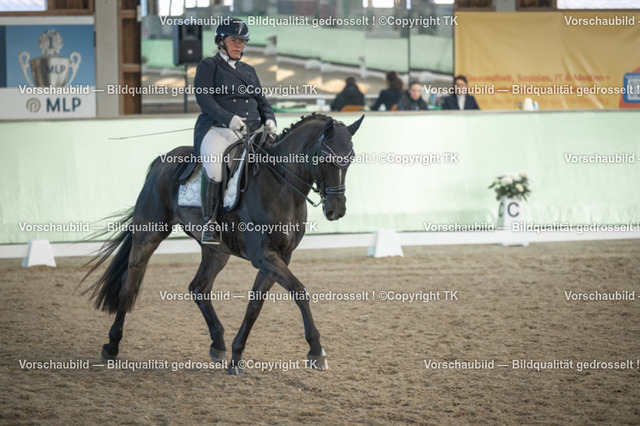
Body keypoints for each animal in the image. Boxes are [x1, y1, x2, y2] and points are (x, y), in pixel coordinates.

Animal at [81, 113, 364, 375]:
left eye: (350, 159)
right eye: (326, 159)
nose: (336, 211)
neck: (280, 185)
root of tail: (163, 161)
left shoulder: (280, 257)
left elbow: (254, 306)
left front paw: (237, 356)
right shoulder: (264, 255)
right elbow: (300, 291)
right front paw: (316, 351)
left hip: (217, 251)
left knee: (199, 287)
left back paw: (218, 344)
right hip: (148, 235)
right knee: (129, 285)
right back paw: (112, 346)